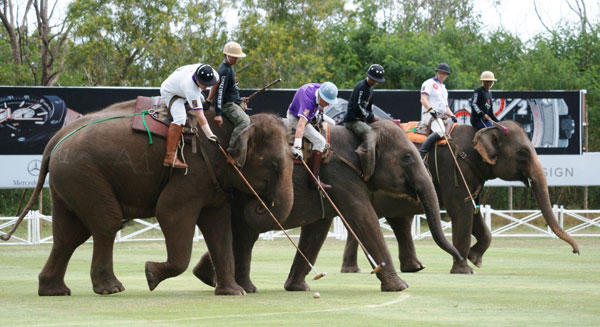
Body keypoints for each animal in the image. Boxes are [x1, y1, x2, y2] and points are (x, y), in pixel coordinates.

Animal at [3, 100, 294, 298]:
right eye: (273, 166)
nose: (260, 204)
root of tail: (55, 140)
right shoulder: (192, 169)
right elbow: (169, 212)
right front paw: (150, 275)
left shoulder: (213, 180)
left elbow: (219, 228)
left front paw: (233, 293)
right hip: (83, 173)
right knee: (106, 224)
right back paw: (111, 289)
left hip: (69, 180)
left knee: (69, 235)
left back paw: (55, 291)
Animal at [192, 119, 464, 294]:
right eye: (407, 157)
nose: (462, 258)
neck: (363, 133)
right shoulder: (341, 175)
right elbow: (364, 219)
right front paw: (400, 288)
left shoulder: (329, 184)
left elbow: (318, 229)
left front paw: (298, 288)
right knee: (243, 234)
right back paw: (233, 286)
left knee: (244, 236)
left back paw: (212, 279)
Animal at [342, 120, 580, 274]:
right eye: (523, 152)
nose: (576, 252)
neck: (480, 131)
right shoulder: (454, 168)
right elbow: (462, 212)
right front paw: (464, 269)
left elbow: (475, 215)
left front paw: (476, 260)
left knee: (398, 222)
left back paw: (410, 268)